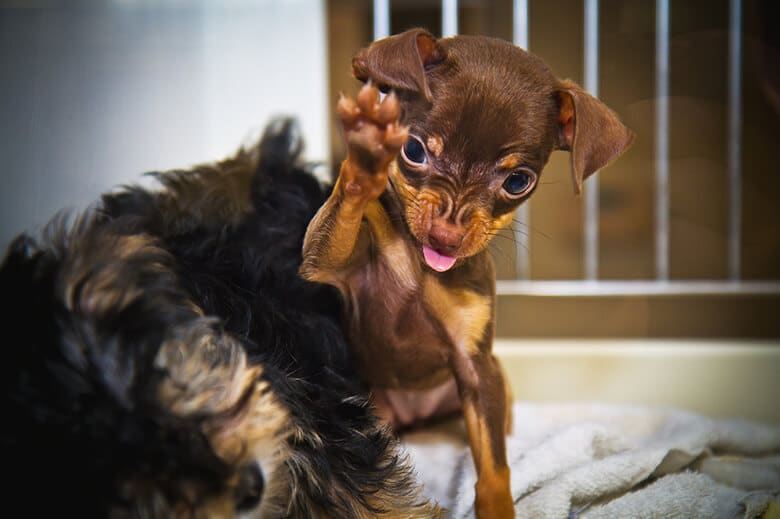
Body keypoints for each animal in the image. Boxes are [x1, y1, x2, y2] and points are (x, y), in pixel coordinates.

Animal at [298, 29, 632, 519]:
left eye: (518, 182)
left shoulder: (477, 371)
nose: (447, 236)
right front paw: (365, 153)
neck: (419, 266)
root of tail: (416, 414)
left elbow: (495, 467)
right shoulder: (328, 261)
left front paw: (498, 508)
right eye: (413, 150)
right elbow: (343, 211)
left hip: (494, 389)